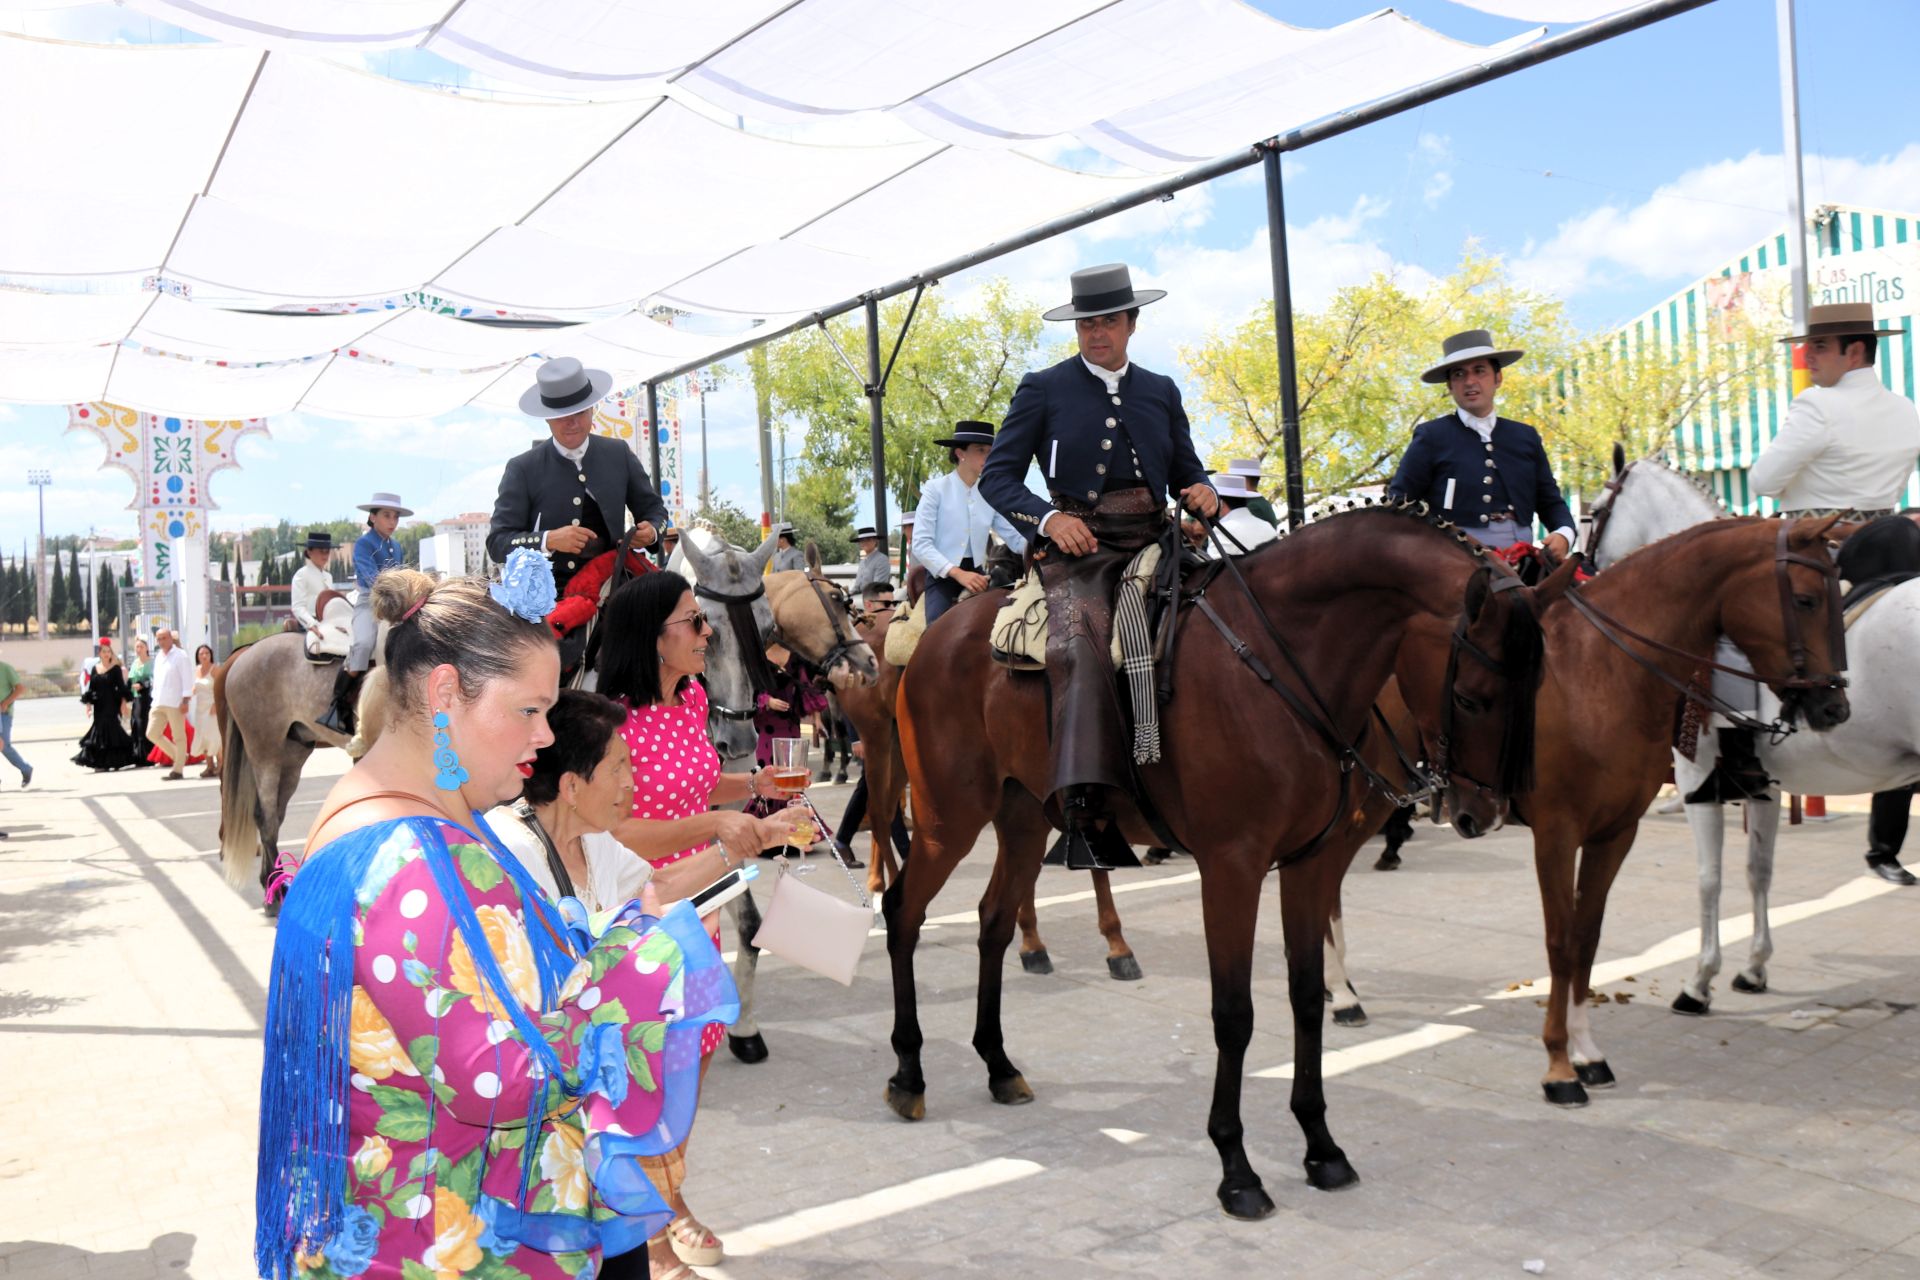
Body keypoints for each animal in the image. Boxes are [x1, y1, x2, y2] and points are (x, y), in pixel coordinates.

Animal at [883, 506, 1559, 1220]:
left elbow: (1305, 998)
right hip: (946, 817)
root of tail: (936, 637)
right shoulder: (1232, 868)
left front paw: (1321, 1145)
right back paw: (908, 1073)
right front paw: (1237, 1169)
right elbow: (1234, 1014)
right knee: (902, 913)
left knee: (992, 922)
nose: (1486, 812)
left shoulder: (1310, 864)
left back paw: (999, 1064)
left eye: (1536, 687)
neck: (1281, 663)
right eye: (1474, 697)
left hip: (1022, 818)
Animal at [1582, 449, 1912, 1013]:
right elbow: (1759, 870)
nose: (1584, 571)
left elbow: (1709, 878)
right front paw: (1754, 967)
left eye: (1596, 510)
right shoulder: (1763, 783)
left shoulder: (1696, 777)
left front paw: (1699, 981)